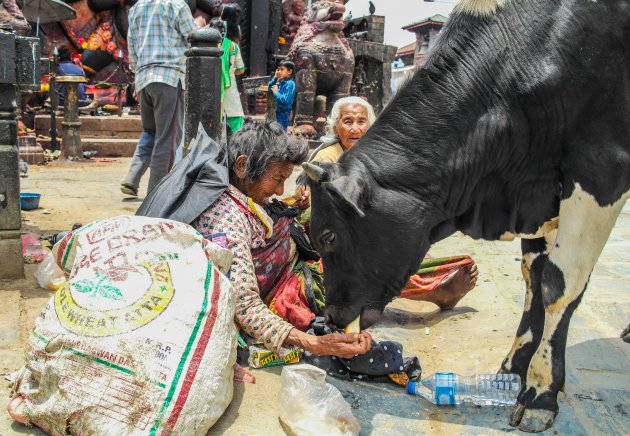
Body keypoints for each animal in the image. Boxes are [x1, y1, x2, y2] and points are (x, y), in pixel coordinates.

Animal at [304, 0, 628, 430]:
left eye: (328, 237)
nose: (333, 318)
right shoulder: (536, 194)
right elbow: (533, 277)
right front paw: (513, 369)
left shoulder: (601, 172)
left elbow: (558, 284)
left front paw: (541, 391)